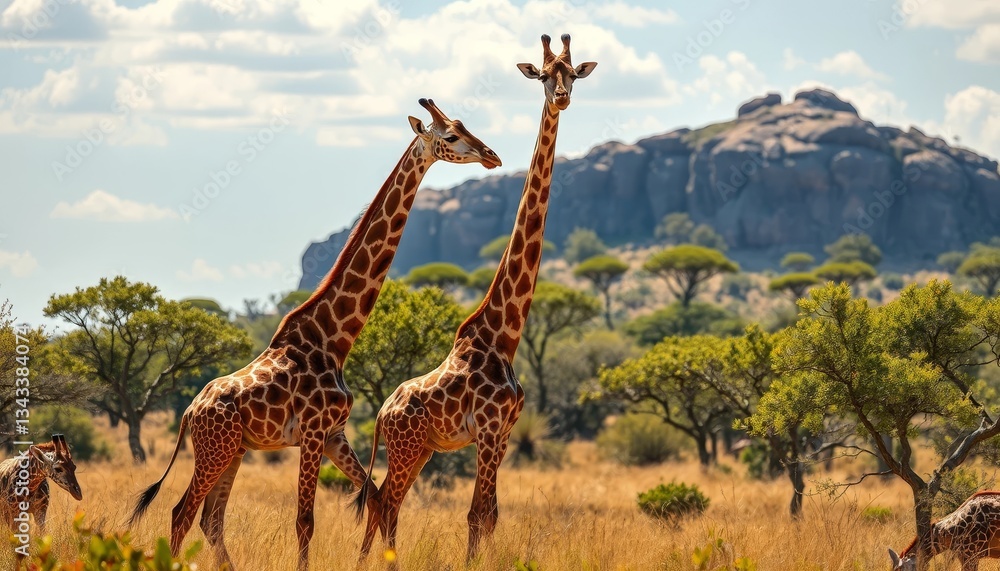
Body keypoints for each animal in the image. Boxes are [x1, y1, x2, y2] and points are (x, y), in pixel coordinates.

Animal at [128, 99, 501, 571]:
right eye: (450, 135)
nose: (492, 155)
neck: (334, 338)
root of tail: (189, 413)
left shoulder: (334, 434)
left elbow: (375, 499)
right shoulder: (310, 431)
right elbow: (305, 520)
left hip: (234, 450)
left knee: (211, 519)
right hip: (215, 450)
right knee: (182, 513)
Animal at [354, 33, 596, 564]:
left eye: (573, 74)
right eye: (543, 76)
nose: (561, 98)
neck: (504, 335)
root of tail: (380, 413)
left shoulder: (504, 432)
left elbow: (491, 516)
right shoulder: (486, 429)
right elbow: (475, 515)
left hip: (422, 450)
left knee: (381, 503)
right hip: (407, 447)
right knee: (385, 504)